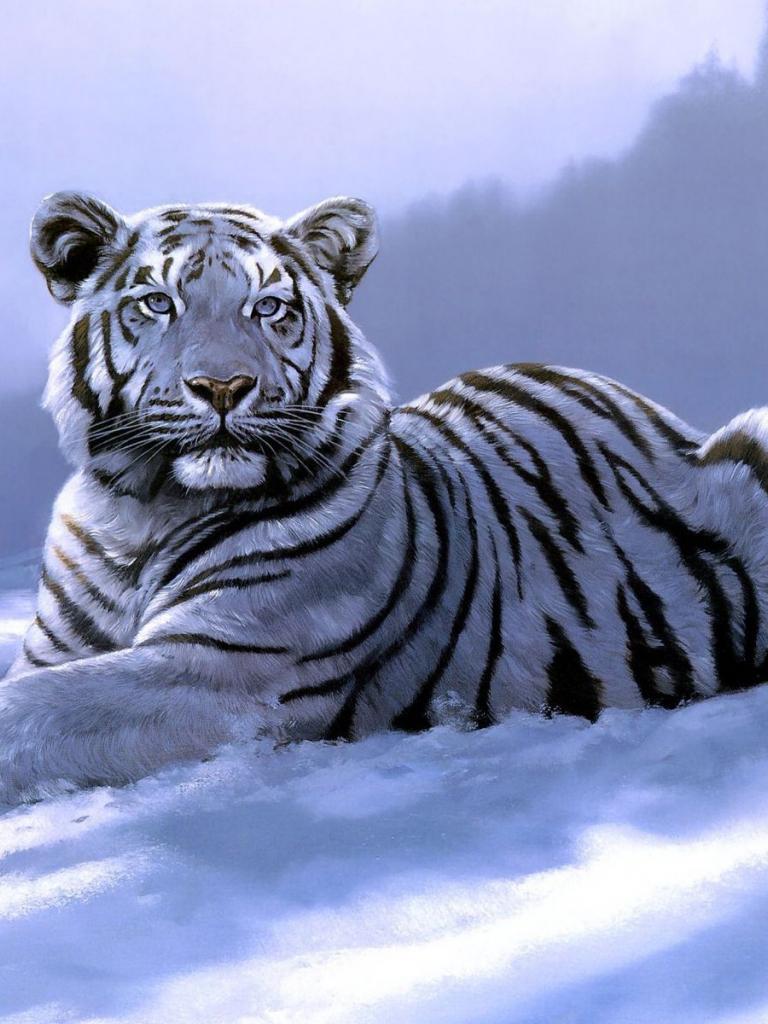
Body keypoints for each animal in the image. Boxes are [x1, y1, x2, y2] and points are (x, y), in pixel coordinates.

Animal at [1, 188, 767, 806]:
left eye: (268, 307)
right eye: (158, 303)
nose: (223, 387)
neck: (143, 510)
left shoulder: (222, 667)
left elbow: (29, 713)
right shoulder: (60, 648)